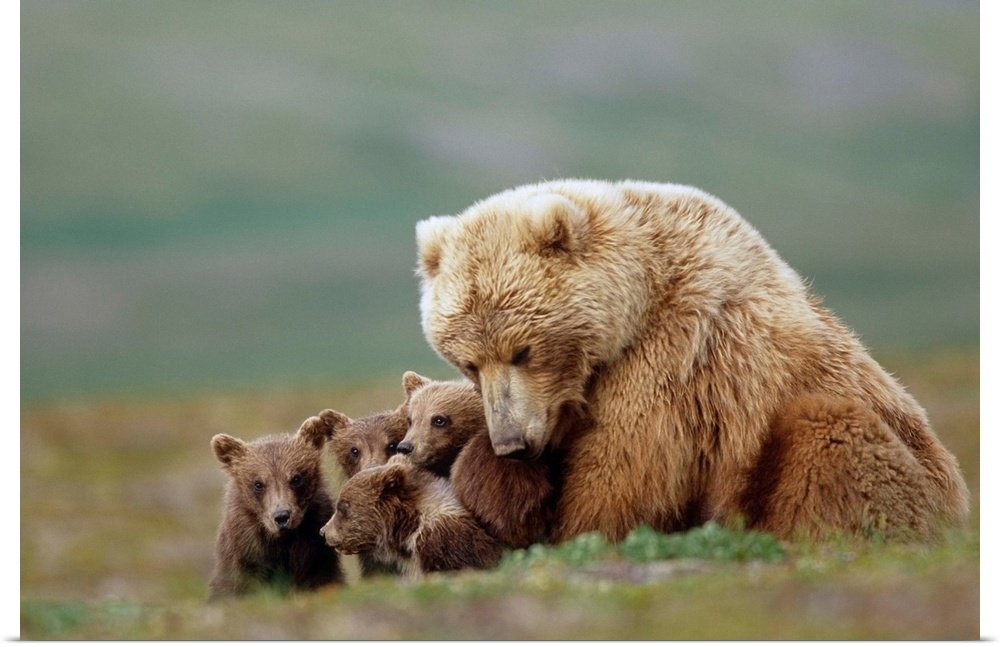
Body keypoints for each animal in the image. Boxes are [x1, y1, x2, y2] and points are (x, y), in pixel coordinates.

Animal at [209, 414, 343, 599]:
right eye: (258, 484)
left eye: (296, 478)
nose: (282, 516)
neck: (282, 546)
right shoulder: (248, 555)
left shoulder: (315, 555)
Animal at [414, 179, 969, 543]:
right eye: (468, 362)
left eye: (523, 350)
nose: (511, 443)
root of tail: (960, 505)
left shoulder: (675, 358)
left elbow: (622, 472)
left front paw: (576, 528)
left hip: (901, 465)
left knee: (829, 432)